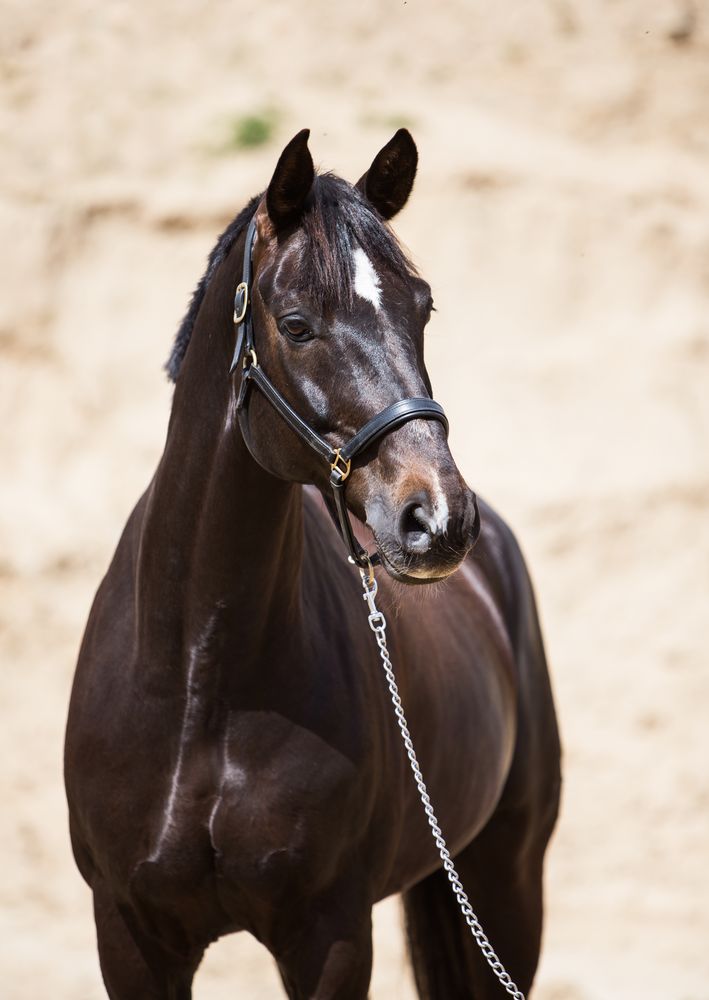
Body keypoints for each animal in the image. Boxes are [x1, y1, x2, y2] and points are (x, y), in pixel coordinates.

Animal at [68, 129, 564, 996]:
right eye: (297, 325)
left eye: (422, 308)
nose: (439, 519)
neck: (199, 678)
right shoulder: (128, 935)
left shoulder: (328, 933)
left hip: (505, 879)